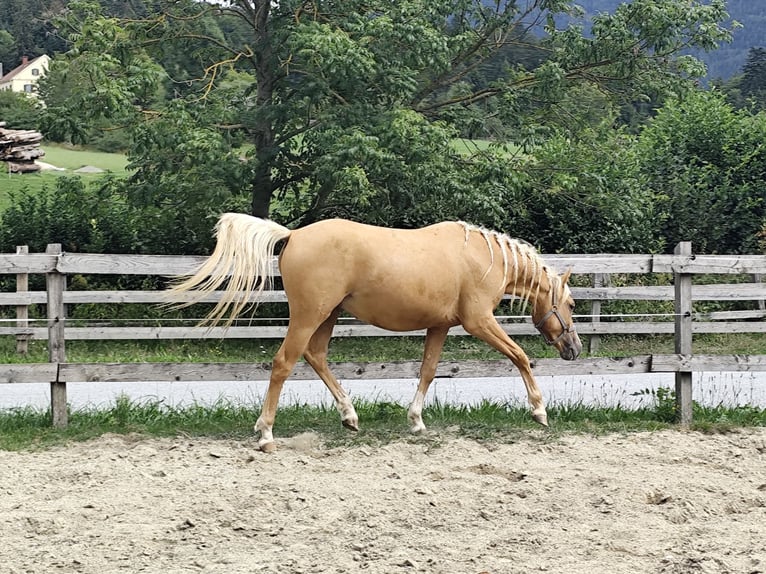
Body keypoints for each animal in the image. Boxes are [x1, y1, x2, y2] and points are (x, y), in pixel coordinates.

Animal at [171, 213, 582, 452]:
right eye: (572, 304)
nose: (574, 349)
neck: (483, 259)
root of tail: (293, 235)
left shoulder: (440, 326)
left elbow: (428, 371)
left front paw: (416, 421)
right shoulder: (478, 321)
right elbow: (520, 357)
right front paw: (539, 411)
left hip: (328, 315)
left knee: (316, 356)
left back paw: (350, 417)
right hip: (309, 314)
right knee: (284, 362)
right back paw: (267, 433)